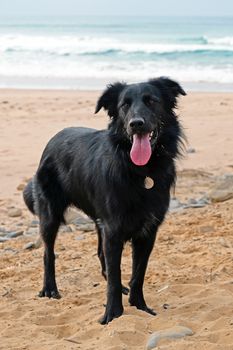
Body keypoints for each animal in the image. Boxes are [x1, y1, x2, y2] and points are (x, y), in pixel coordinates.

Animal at [23, 78, 186, 324]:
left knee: (101, 255)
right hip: (50, 216)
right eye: (124, 105)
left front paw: (139, 306)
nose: (136, 124)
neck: (140, 171)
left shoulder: (147, 232)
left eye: (152, 101)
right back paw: (50, 289)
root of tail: (54, 138)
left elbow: (138, 273)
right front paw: (113, 314)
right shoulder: (114, 230)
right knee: (48, 253)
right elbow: (115, 276)